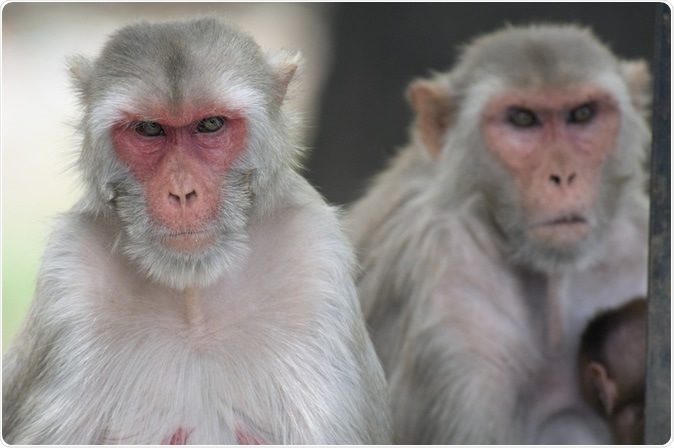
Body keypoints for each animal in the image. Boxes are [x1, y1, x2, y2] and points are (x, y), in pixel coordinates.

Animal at [2, 18, 391, 445]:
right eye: (149, 129)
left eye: (210, 124)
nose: (182, 192)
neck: (194, 299)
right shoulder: (72, 270)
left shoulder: (314, 254)